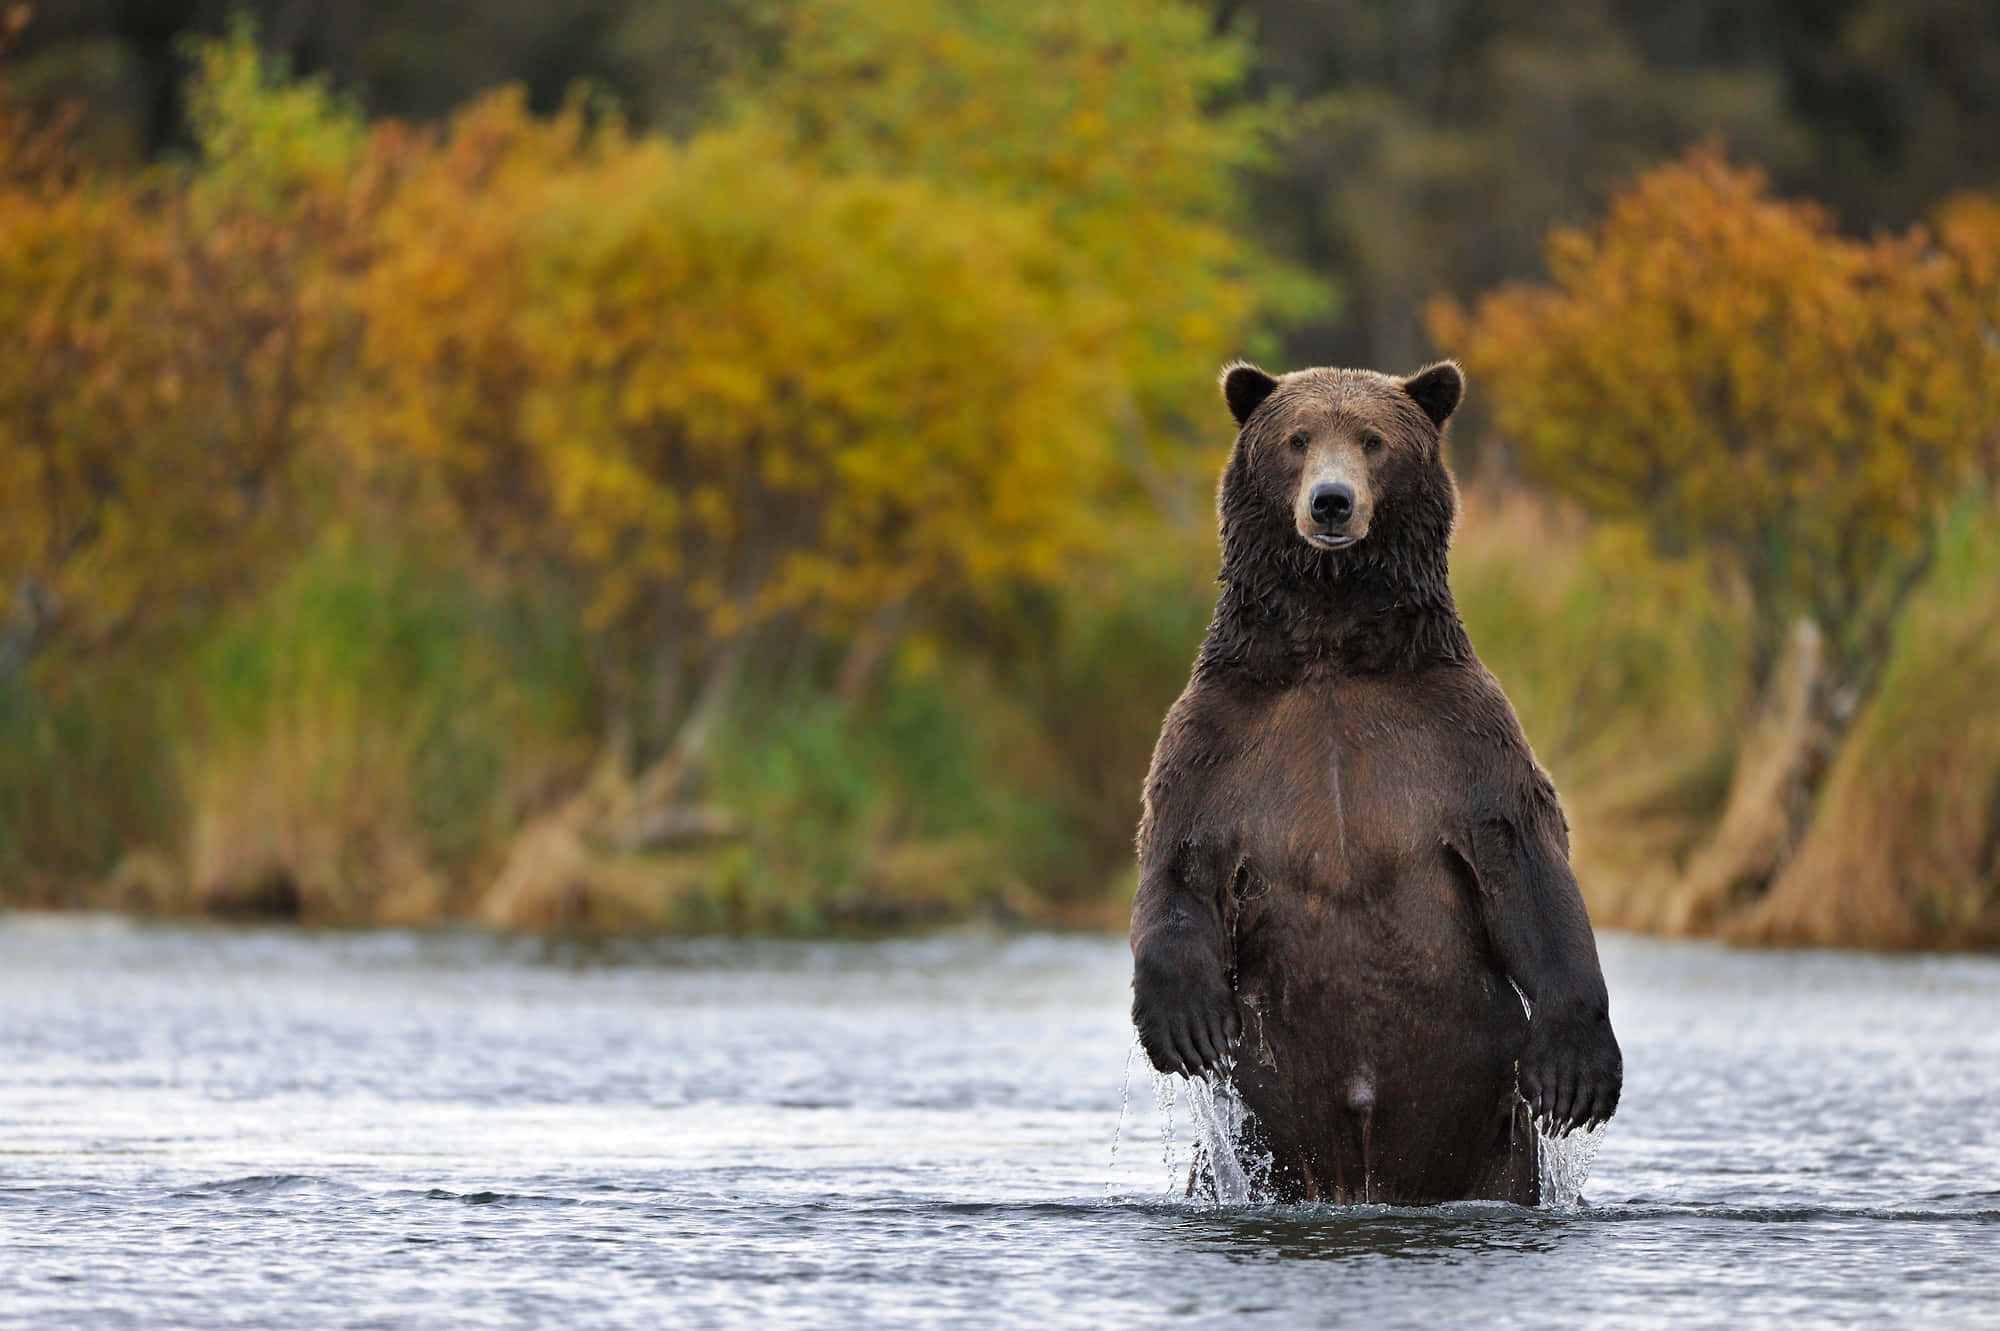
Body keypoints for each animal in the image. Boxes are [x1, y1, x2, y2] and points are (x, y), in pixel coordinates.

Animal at [1129, 359, 1622, 1206]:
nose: (1331, 501)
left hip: (1493, 1132)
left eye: (1372, 439)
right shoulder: (1220, 737)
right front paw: (1185, 1024)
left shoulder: (1461, 736)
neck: (1331, 642)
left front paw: (1578, 1071)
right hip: (1255, 1135)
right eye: (1297, 439)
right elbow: (1178, 858)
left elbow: (1526, 861)